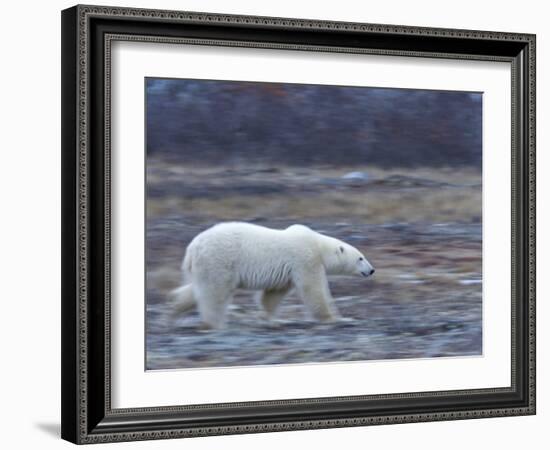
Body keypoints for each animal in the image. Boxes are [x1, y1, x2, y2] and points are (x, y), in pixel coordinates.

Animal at [168, 221, 376, 326]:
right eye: (361, 258)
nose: (372, 270)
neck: (318, 245)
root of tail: (192, 248)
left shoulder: (287, 271)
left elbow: (273, 293)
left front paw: (269, 317)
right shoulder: (305, 259)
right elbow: (313, 289)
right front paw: (335, 318)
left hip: (205, 266)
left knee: (197, 289)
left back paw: (174, 309)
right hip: (219, 260)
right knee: (215, 292)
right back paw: (214, 322)